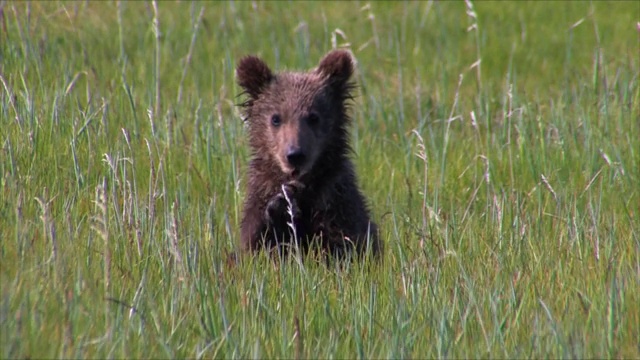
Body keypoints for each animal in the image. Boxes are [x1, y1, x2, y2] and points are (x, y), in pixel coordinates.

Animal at [238, 49, 382, 260]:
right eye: (275, 118)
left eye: (313, 117)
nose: (295, 155)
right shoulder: (260, 193)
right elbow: (256, 245)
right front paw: (280, 204)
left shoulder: (336, 200)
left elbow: (345, 246)